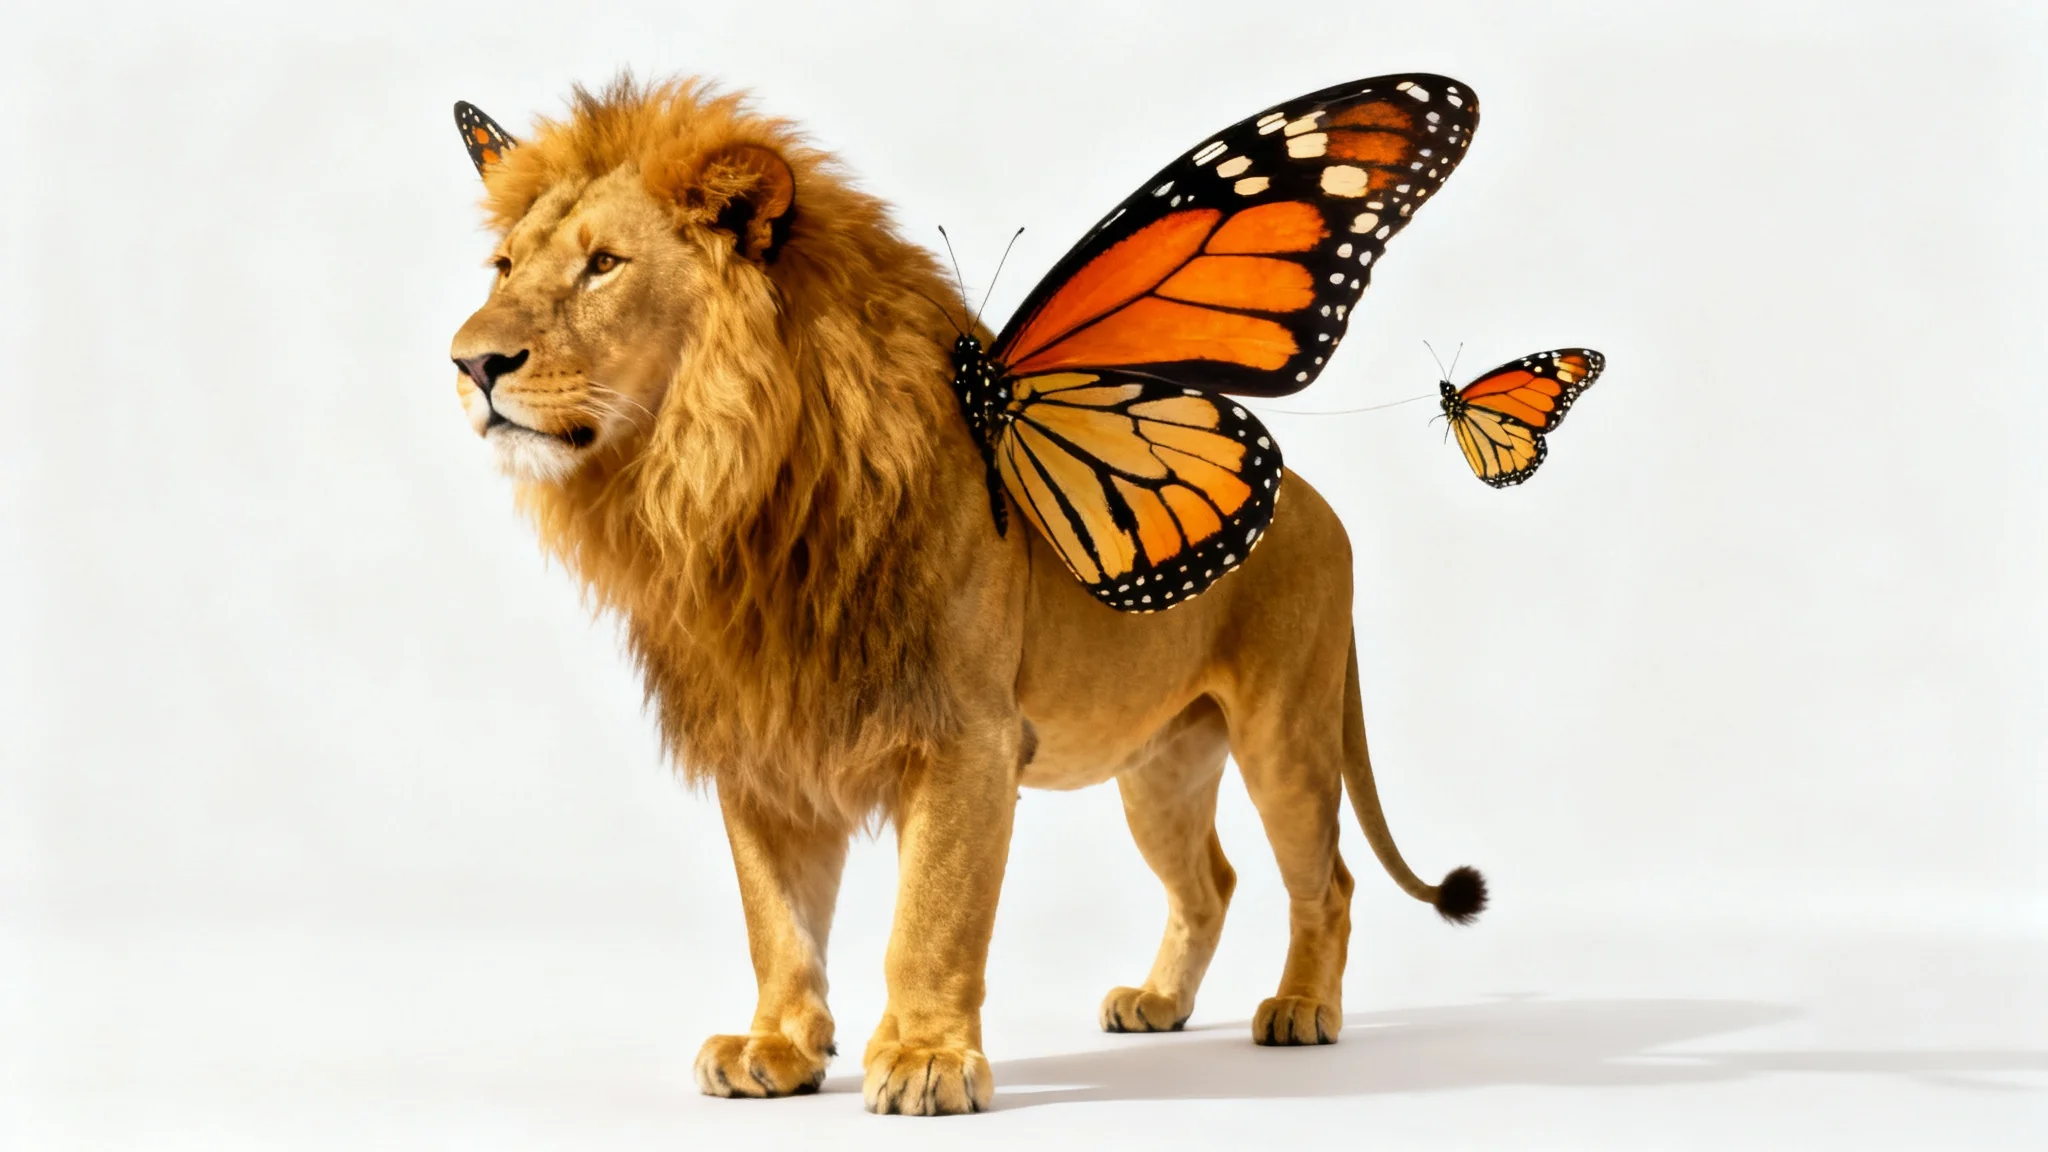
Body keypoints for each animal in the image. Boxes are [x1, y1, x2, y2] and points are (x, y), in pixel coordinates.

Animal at [446, 76, 1485, 1116]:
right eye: (503, 266)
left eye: (604, 266)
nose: (470, 363)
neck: (719, 493)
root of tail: (1315, 504)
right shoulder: (762, 740)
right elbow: (777, 920)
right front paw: (776, 1045)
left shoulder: (965, 737)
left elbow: (933, 917)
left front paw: (926, 1059)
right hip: (1159, 767)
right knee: (1210, 883)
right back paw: (1157, 1003)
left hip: (1285, 736)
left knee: (1328, 883)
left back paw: (1302, 1009)